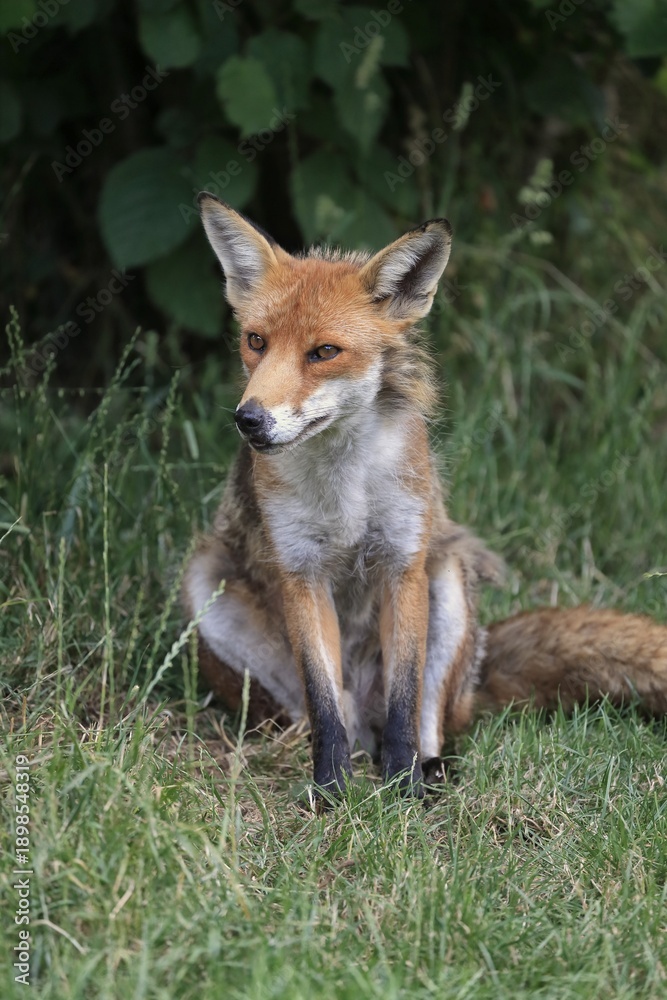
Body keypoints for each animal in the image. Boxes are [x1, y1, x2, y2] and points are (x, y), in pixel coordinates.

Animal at [183, 193, 667, 797]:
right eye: (256, 342)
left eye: (323, 352)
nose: (249, 420)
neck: (346, 490)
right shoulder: (301, 570)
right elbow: (323, 701)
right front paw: (332, 791)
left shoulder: (403, 562)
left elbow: (405, 698)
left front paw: (402, 787)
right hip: (206, 578)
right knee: (327, 714)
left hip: (449, 579)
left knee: (428, 716)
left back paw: (428, 772)